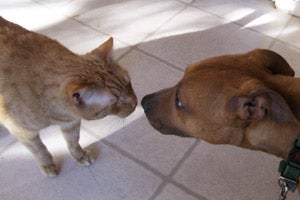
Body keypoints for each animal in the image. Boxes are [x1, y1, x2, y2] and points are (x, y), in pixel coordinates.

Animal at [0, 17, 137, 177]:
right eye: (115, 101)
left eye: (128, 83)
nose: (135, 103)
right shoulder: (23, 132)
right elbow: (39, 150)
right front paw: (47, 164)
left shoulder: (70, 123)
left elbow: (73, 141)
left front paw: (79, 155)